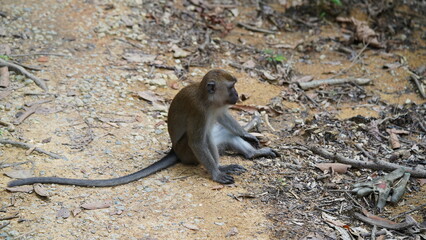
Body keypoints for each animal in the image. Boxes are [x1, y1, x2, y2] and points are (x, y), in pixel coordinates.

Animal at [9, 69, 280, 188]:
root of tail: (174, 151)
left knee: (222, 135)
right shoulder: (199, 112)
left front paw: (247, 134)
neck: (208, 99)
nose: (238, 96)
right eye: (232, 86)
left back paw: (253, 154)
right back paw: (221, 165)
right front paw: (216, 172)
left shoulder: (217, 109)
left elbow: (225, 119)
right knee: (203, 141)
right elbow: (198, 141)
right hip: (186, 152)